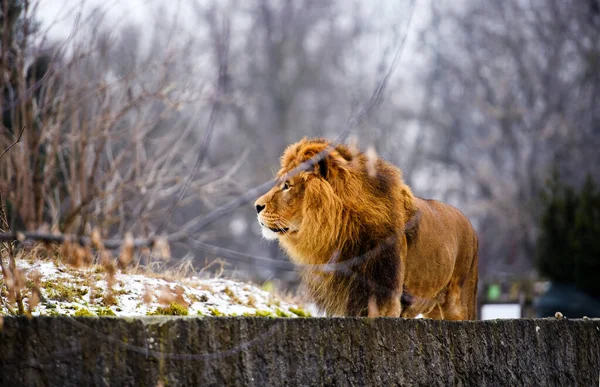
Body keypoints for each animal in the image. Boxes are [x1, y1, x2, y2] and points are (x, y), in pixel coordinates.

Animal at [253, 138, 478, 320]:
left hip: (459, 304)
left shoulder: (385, 299)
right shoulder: (348, 298)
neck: (341, 233)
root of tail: (471, 226)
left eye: (287, 186)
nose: (256, 206)